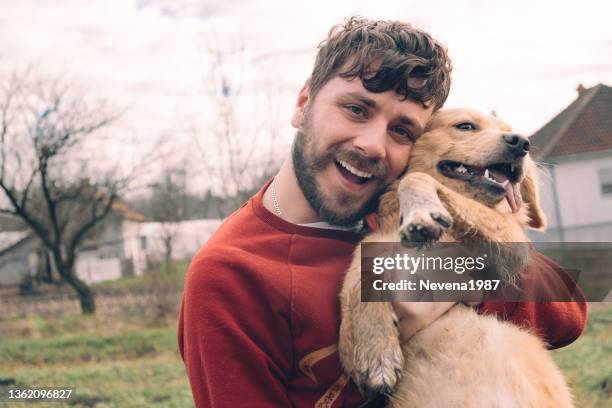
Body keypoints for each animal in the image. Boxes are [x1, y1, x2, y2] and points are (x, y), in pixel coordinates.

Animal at [340, 108, 572, 408]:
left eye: (512, 132)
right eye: (465, 126)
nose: (522, 143)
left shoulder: (511, 241)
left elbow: (416, 178)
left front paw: (422, 213)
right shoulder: (375, 248)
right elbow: (355, 280)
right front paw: (375, 351)